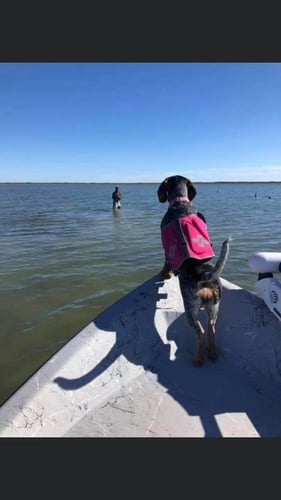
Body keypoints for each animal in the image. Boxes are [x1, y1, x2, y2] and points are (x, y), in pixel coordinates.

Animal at [156, 176, 229, 368]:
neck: (180, 202)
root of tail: (205, 279)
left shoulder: (166, 248)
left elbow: (166, 263)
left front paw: (165, 274)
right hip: (214, 307)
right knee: (211, 329)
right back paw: (212, 354)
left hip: (190, 308)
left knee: (201, 332)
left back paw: (198, 359)